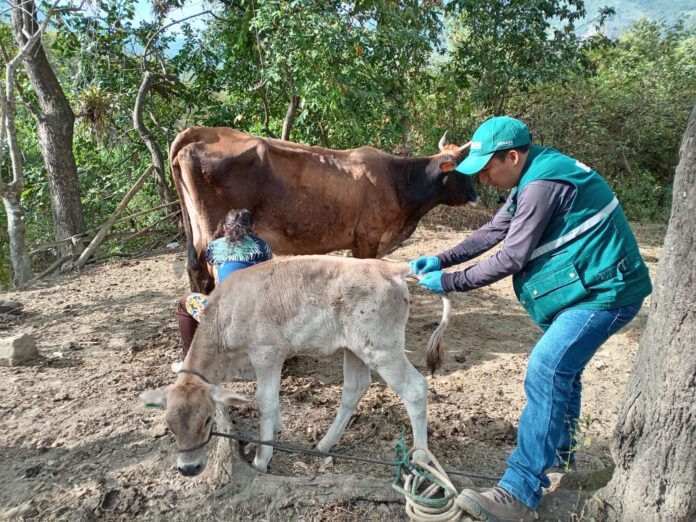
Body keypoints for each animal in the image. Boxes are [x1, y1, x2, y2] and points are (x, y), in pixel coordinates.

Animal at [171, 125, 476, 288]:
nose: (476, 195)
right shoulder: (368, 237)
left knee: (195, 270)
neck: (397, 180)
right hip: (217, 234)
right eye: (464, 169)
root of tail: (205, 133)